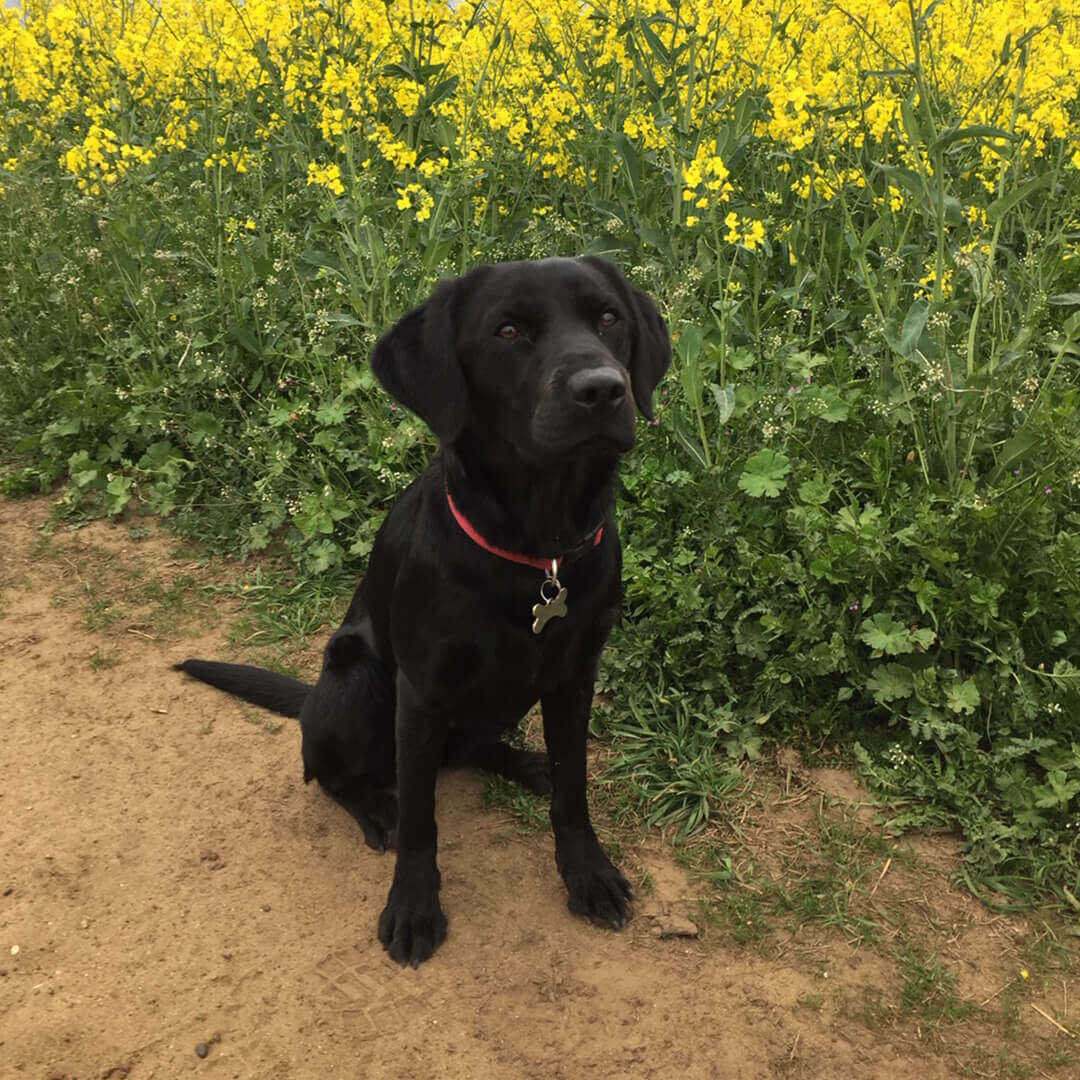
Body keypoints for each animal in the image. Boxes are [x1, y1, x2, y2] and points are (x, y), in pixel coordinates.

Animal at [174, 257, 665, 967]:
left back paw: (525, 764)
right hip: (355, 682)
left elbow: (574, 790)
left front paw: (588, 874)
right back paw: (373, 805)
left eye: (608, 318)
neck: (535, 552)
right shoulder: (422, 691)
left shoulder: (576, 675)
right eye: (508, 331)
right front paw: (412, 906)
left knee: (472, 751)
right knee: (330, 772)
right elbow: (420, 821)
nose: (603, 389)